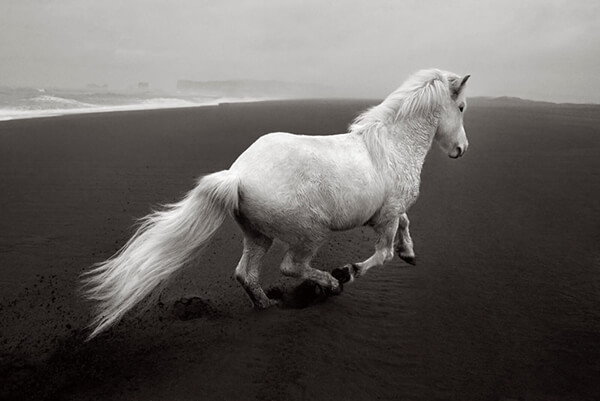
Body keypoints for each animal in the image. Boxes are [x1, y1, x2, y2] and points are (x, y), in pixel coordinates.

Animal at [83, 69, 468, 338]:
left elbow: (404, 226)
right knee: (291, 267)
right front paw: (349, 271)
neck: (393, 146)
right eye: (462, 106)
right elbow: (382, 253)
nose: (461, 150)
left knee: (246, 273)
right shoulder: (385, 216)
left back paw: (267, 303)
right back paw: (328, 285)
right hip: (310, 234)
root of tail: (238, 175)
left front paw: (409, 252)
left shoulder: (389, 213)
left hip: (257, 235)